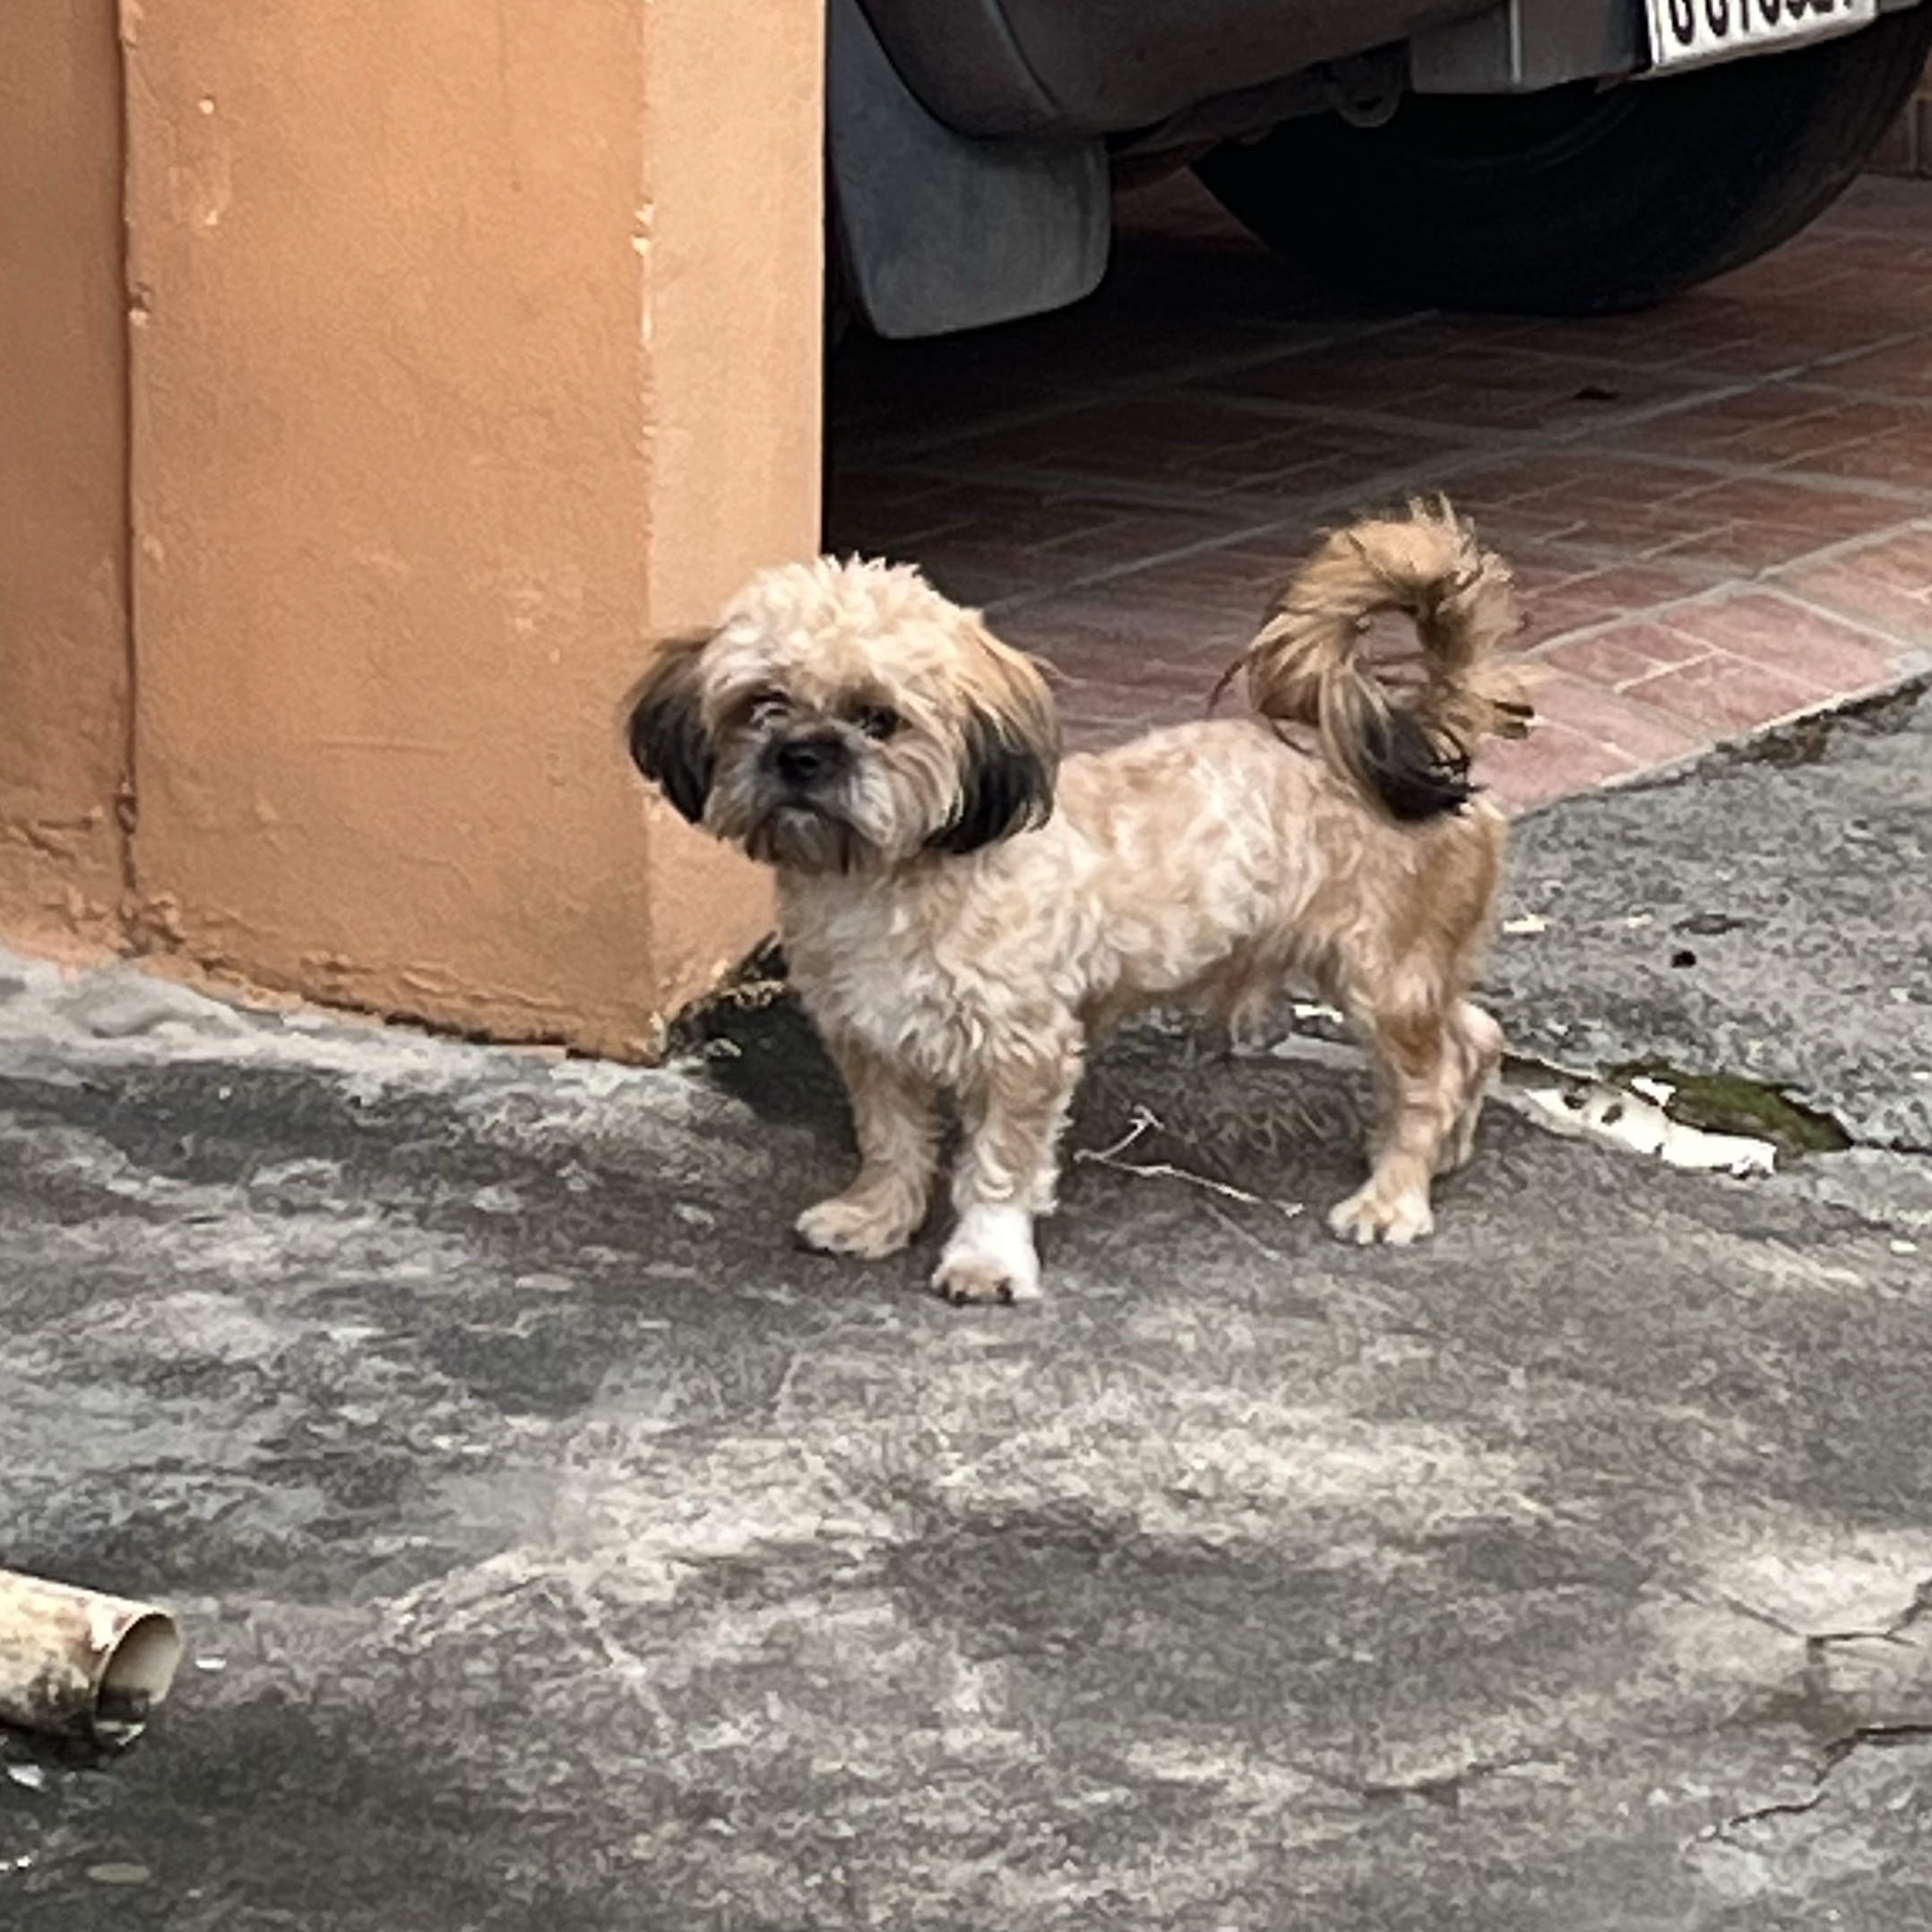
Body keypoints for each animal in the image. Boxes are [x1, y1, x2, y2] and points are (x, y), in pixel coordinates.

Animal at [634, 505, 1538, 1306]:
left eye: (879, 718)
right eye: (761, 704)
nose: (801, 755)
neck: (894, 879)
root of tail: (1421, 734)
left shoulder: (1023, 1052)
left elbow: (999, 1167)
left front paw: (986, 1261)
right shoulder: (872, 1041)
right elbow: (891, 1141)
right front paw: (875, 1217)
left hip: (1383, 974)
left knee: (1430, 1076)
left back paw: (1395, 1194)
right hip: (1406, 974)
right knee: (1475, 1037)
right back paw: (1444, 1150)